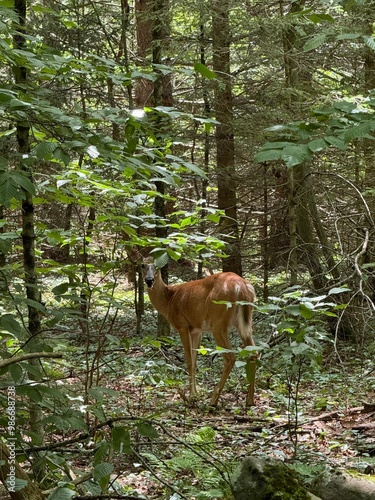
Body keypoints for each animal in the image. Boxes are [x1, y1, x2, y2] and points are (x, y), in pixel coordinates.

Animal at [144, 260, 258, 408]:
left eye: (157, 267)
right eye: (142, 265)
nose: (149, 280)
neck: (169, 300)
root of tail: (242, 286)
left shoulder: (182, 325)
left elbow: (189, 360)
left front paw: (191, 396)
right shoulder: (197, 330)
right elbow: (195, 360)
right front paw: (196, 393)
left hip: (218, 322)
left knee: (230, 357)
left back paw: (213, 400)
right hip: (244, 322)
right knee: (254, 353)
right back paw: (249, 400)